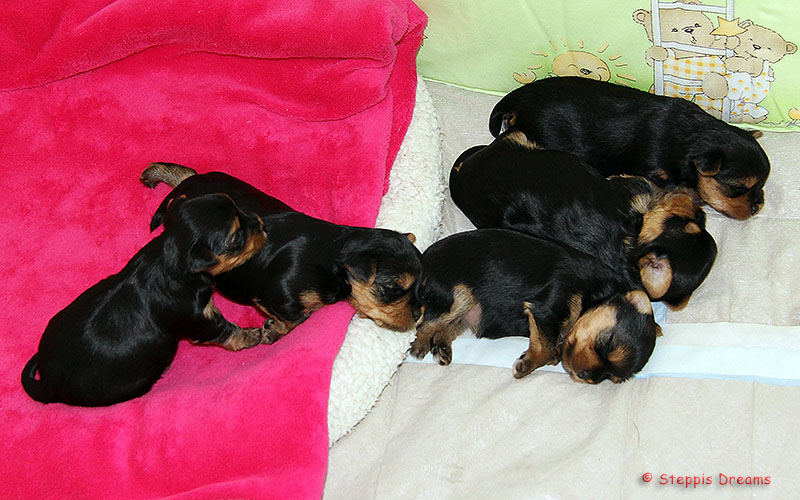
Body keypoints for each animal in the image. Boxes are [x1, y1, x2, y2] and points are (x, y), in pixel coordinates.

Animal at [21, 193, 268, 406]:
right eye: (236, 236)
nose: (260, 222)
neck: (170, 257)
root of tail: (49, 383)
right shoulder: (199, 319)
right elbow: (228, 330)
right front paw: (251, 335)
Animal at [141, 162, 422, 341]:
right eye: (393, 288)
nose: (419, 315)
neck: (334, 260)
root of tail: (181, 193)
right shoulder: (278, 298)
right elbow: (295, 320)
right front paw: (272, 330)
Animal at [409, 229, 660, 384]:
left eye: (610, 378)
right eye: (608, 344)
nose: (586, 376)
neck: (598, 292)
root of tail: (422, 261)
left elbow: (551, 348)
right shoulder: (547, 308)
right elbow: (547, 348)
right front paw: (526, 364)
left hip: (463, 311)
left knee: (445, 326)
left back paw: (441, 348)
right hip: (458, 295)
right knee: (426, 323)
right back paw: (420, 346)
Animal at [488, 76, 770, 220]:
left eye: (761, 186)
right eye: (737, 187)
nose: (757, 207)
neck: (691, 138)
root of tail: (518, 97)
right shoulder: (652, 170)